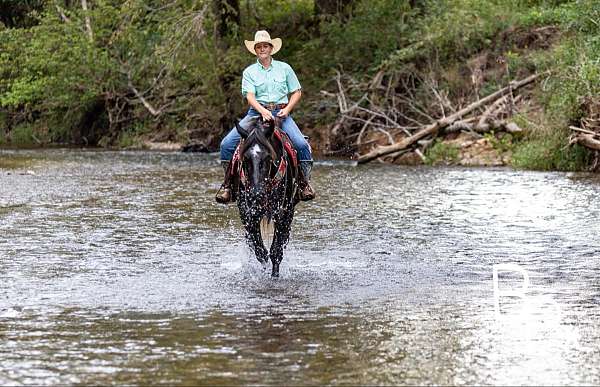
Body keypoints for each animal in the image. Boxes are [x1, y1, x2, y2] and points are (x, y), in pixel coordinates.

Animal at [234, 117, 300, 276]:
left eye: (268, 157)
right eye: (245, 159)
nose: (256, 194)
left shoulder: (283, 213)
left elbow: (276, 250)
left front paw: (274, 275)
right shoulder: (248, 213)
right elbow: (260, 251)